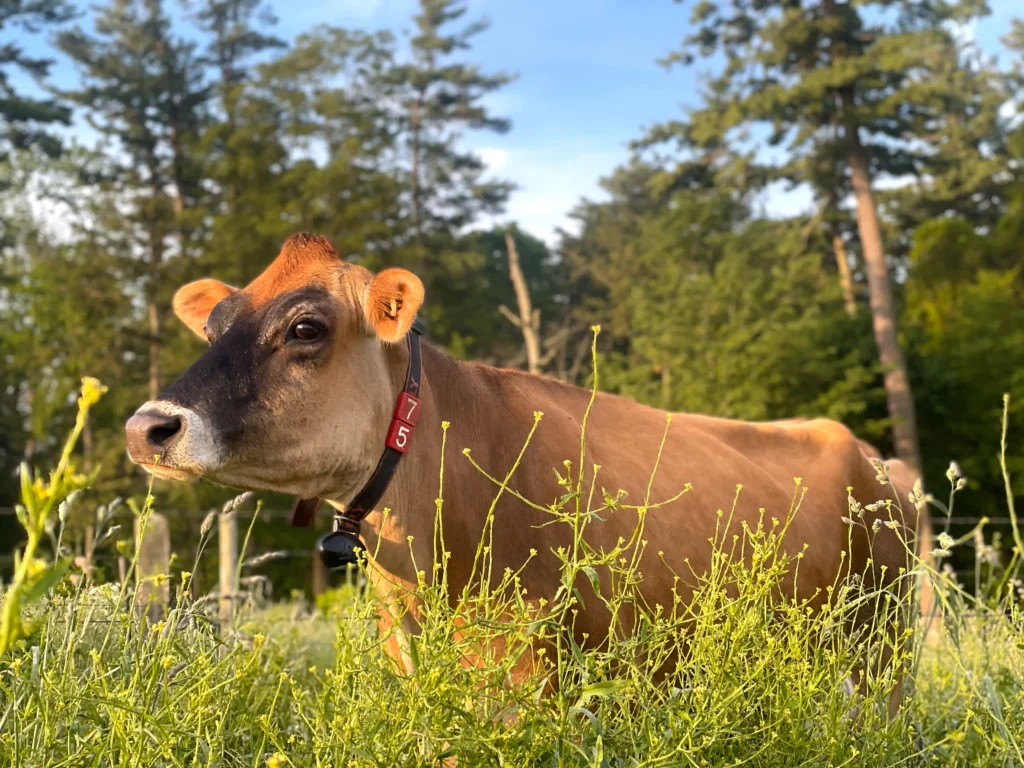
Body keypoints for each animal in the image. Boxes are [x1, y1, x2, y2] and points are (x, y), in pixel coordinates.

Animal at [125, 232, 921, 718]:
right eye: (212, 326)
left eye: (305, 327)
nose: (146, 427)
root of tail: (876, 456)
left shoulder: (528, 669)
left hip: (885, 647)